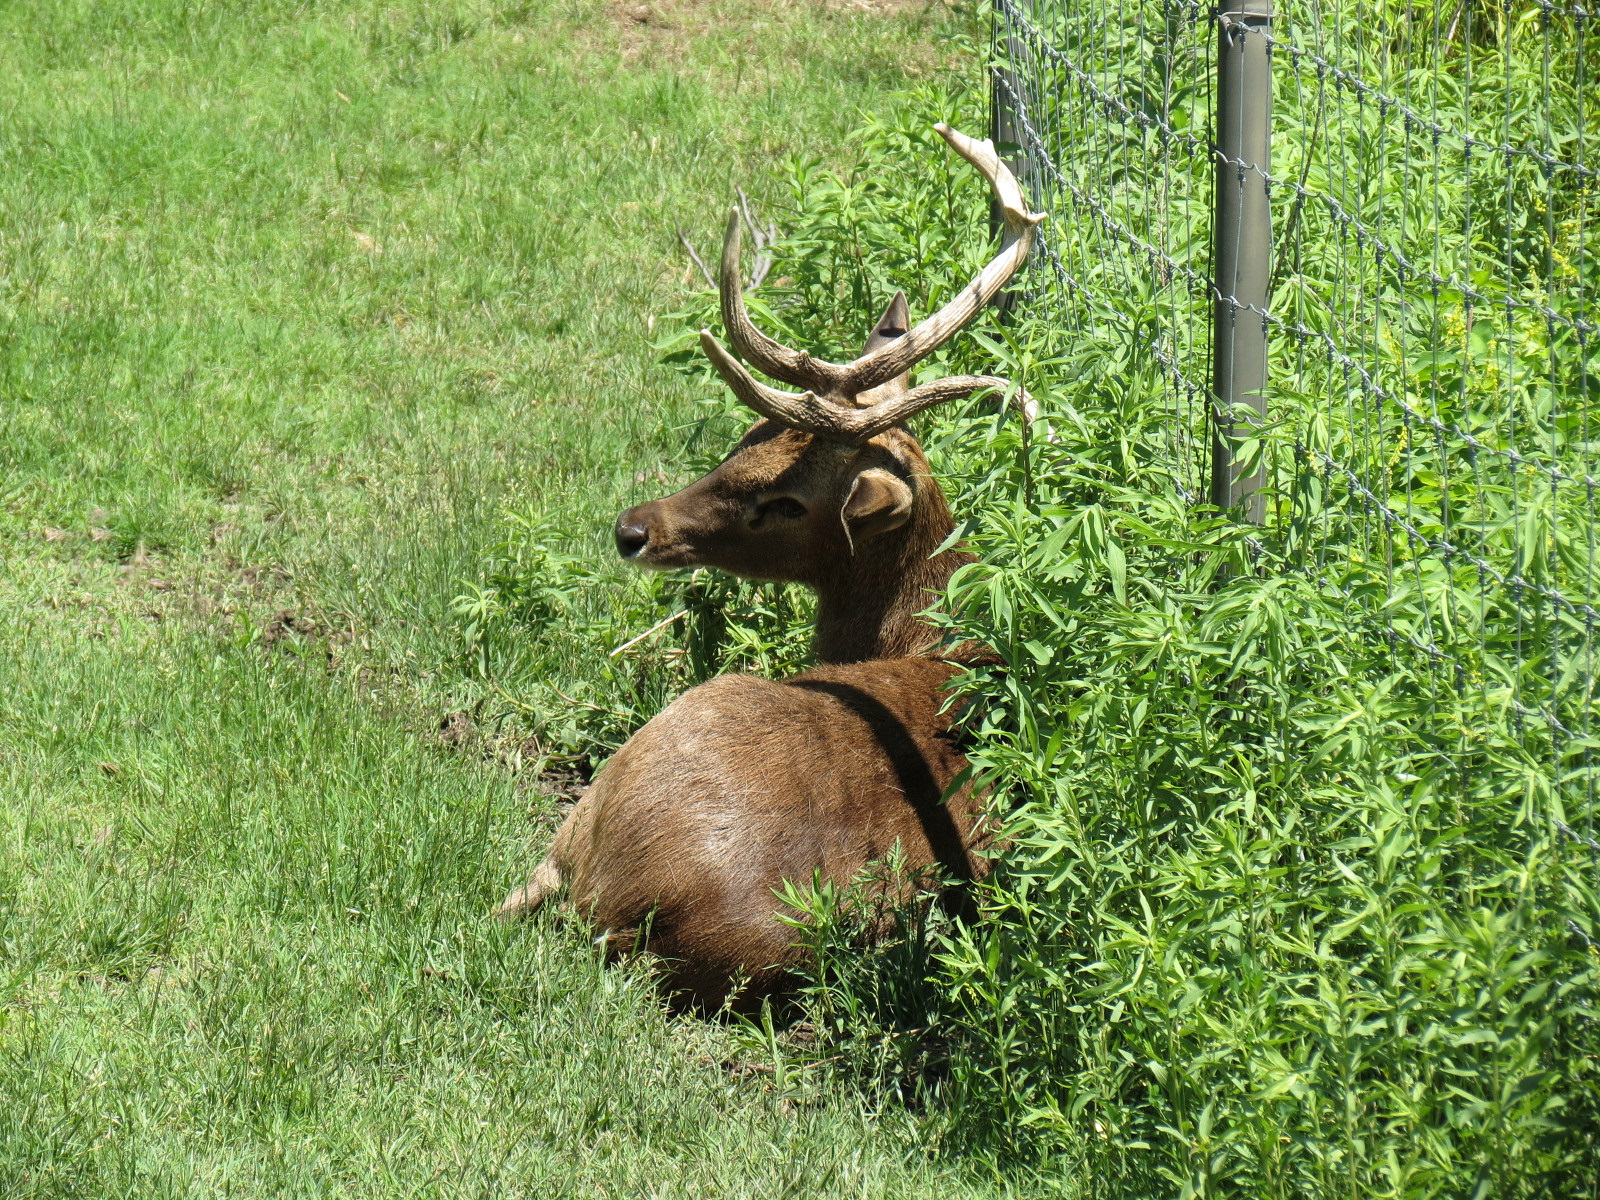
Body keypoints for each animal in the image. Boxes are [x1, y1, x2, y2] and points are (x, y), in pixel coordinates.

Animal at [496, 124, 1045, 1012]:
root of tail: (609, 903)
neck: (927, 635)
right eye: (747, 437)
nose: (633, 529)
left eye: (786, 501)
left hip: (669, 731)